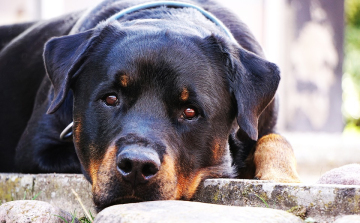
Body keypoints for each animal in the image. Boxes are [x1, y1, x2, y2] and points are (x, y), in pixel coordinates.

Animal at [0, 0, 300, 211]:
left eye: (190, 111)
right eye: (111, 98)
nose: (136, 165)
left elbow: (276, 140)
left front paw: (282, 176)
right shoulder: (38, 149)